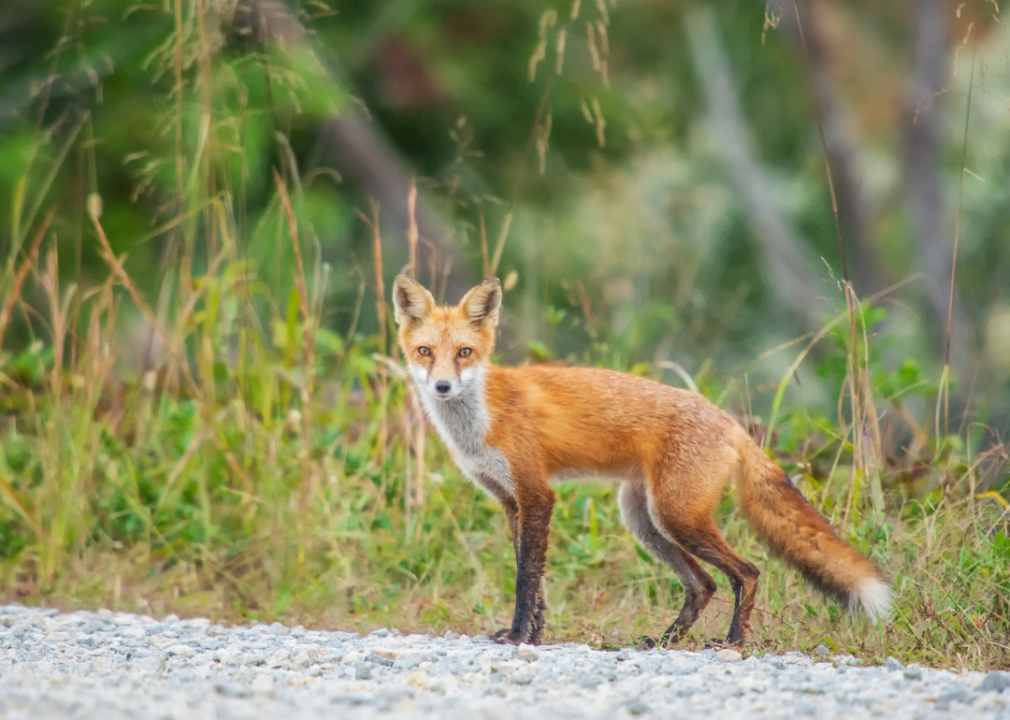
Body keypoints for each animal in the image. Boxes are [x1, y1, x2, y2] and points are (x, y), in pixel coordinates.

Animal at [389, 274, 888, 646]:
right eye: (425, 352)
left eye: (465, 353)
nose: (442, 387)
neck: (481, 419)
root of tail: (730, 420)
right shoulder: (511, 501)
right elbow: (538, 582)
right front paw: (535, 635)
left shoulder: (536, 495)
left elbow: (526, 578)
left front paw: (517, 636)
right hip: (645, 520)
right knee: (702, 584)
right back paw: (663, 641)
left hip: (676, 515)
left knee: (746, 572)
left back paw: (731, 641)